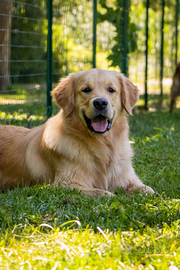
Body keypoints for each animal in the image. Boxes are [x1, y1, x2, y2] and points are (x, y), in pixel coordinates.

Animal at [0, 68, 154, 196]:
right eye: (86, 89)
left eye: (111, 89)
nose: (100, 103)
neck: (102, 145)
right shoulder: (64, 184)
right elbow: (103, 193)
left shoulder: (126, 177)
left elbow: (148, 190)